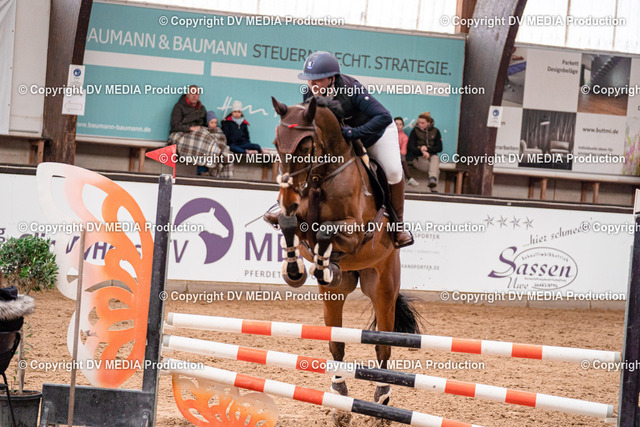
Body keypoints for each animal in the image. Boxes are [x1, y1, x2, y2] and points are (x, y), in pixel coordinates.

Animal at [269, 96, 421, 426]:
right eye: (276, 143)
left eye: (305, 145)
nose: (287, 197)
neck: (321, 176)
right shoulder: (299, 221)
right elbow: (290, 224)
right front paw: (295, 270)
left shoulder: (356, 231)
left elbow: (326, 230)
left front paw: (321, 264)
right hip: (334, 296)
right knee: (336, 343)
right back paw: (339, 397)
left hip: (383, 287)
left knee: (382, 346)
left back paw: (382, 399)